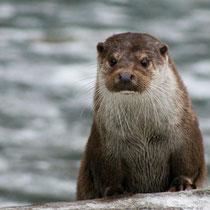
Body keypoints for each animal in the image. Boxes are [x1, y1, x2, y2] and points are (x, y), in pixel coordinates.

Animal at [75, 32, 205, 199]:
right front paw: (115, 191)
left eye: (144, 62)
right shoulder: (104, 144)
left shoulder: (186, 133)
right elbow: (107, 173)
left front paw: (182, 184)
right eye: (112, 60)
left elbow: (188, 164)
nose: (125, 75)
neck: (143, 135)